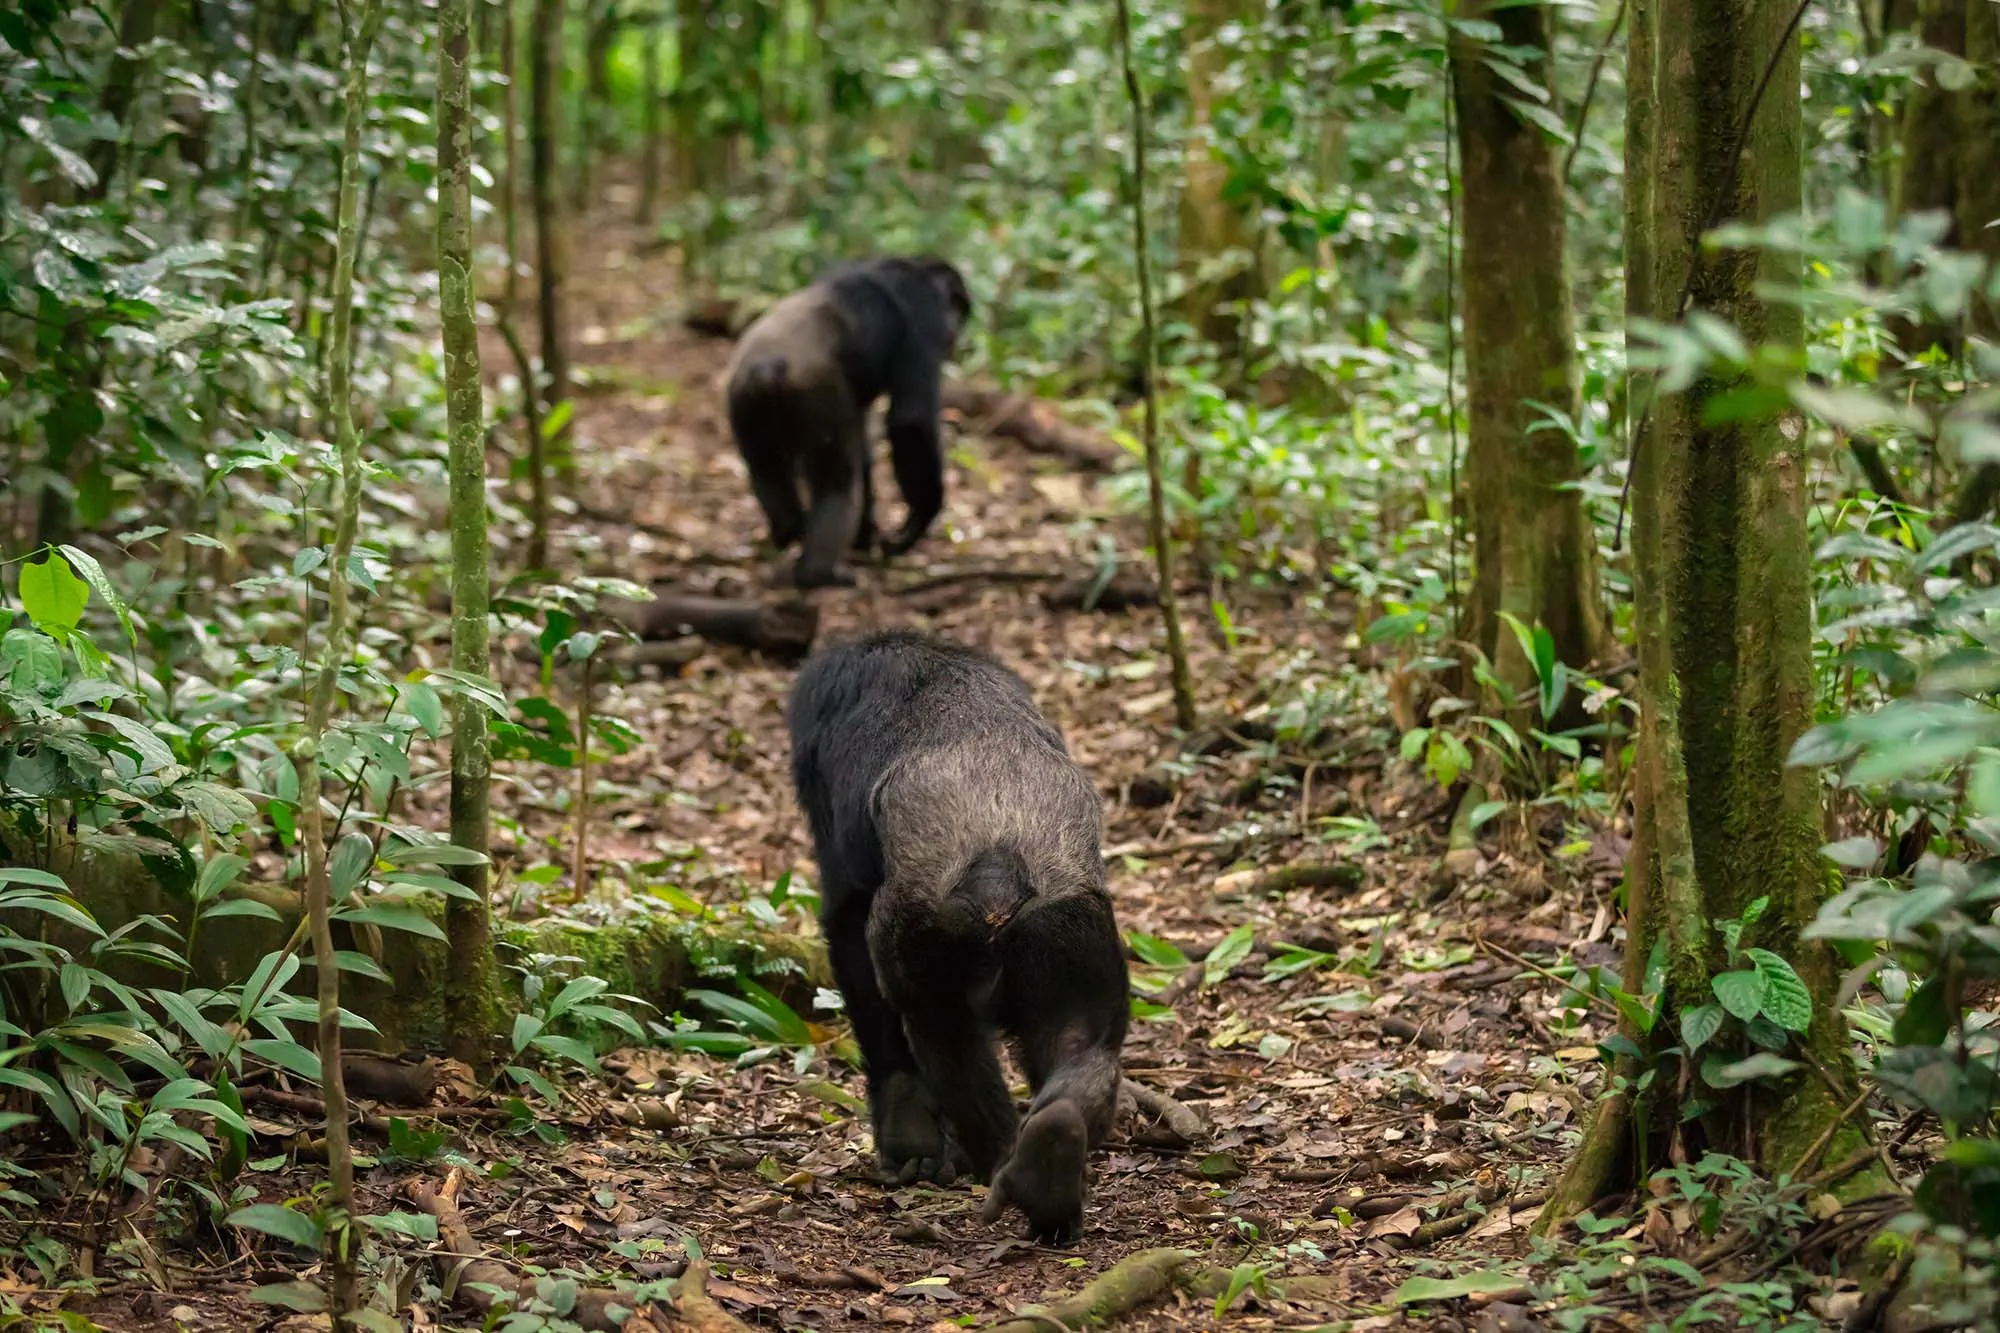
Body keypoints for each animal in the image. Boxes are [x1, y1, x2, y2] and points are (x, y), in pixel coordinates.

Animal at [724, 255, 972, 588]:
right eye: (955, 303)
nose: (956, 324)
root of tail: (766, 368)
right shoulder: (925, 314)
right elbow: (911, 419)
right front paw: (915, 523)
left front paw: (866, 538)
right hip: (816, 397)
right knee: (837, 479)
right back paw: (818, 571)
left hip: (743, 406)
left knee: (766, 470)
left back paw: (789, 532)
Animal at [788, 628, 1136, 1240]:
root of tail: (999, 865)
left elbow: (846, 925)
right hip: (1073, 931)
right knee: (1083, 1039)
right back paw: (1051, 1164)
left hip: (927, 938)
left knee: (944, 1037)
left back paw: (995, 1160)